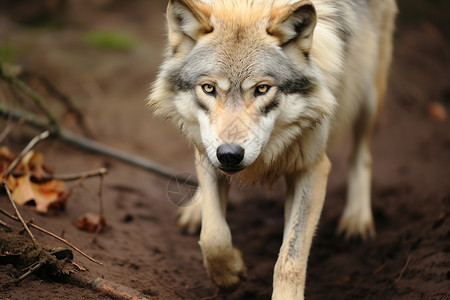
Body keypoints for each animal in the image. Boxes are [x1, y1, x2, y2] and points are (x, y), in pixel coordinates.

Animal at [149, 0, 398, 298]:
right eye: (208, 88)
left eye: (262, 89)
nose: (230, 154)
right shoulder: (210, 154)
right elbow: (213, 236)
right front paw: (230, 274)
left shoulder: (312, 169)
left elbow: (290, 259)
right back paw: (195, 209)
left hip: (368, 93)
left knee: (362, 154)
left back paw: (357, 218)